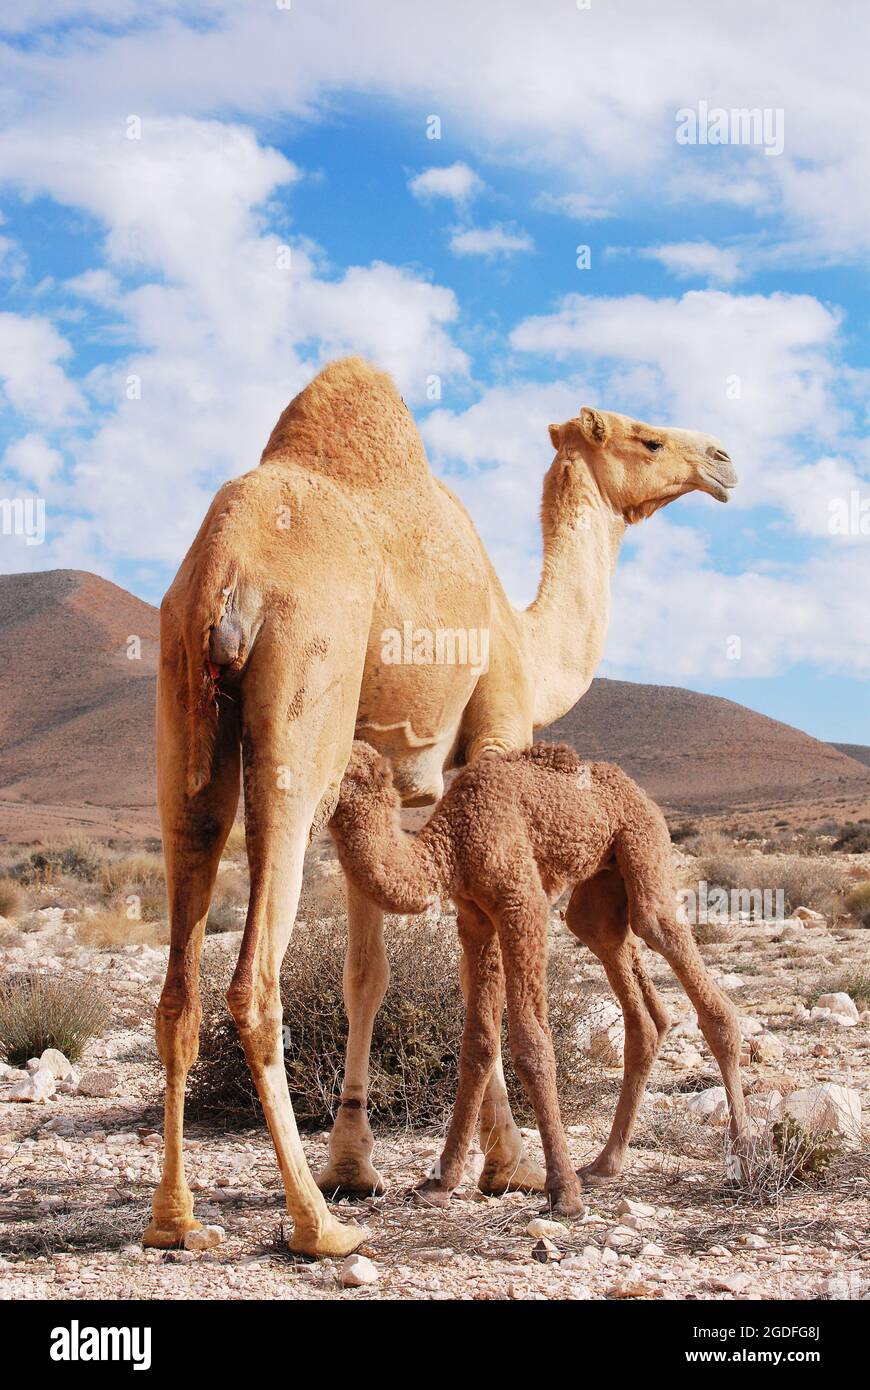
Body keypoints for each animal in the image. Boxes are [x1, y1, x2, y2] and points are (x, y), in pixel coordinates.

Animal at [329, 741, 747, 1211]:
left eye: (344, 766)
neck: (452, 845)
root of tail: (635, 789)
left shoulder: (521, 902)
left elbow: (532, 1044)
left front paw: (562, 1192)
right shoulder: (474, 918)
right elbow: (477, 1046)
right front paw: (439, 1183)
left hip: (644, 847)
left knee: (674, 948)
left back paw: (745, 1159)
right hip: (600, 891)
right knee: (636, 999)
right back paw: (604, 1165)